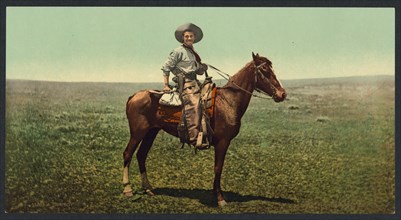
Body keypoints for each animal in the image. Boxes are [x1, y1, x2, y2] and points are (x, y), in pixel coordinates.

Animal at [121, 52, 284, 206]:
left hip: (151, 132)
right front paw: (220, 199)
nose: (282, 94)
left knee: (141, 155)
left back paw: (148, 189)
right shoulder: (223, 142)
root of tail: (134, 96)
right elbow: (218, 168)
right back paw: (128, 189)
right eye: (264, 69)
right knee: (128, 154)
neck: (228, 101)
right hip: (138, 132)